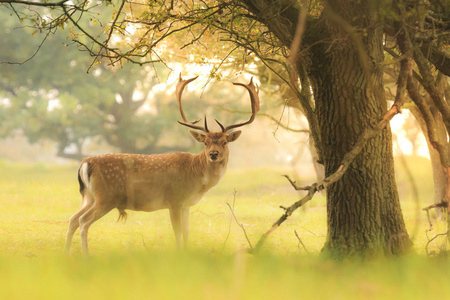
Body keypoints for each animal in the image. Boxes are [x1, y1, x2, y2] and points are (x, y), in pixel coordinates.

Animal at [63, 74, 260, 254]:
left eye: (225, 142)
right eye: (205, 143)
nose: (213, 154)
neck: (196, 178)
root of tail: (86, 163)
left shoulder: (186, 205)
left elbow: (187, 232)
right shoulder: (174, 200)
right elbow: (178, 232)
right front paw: (179, 254)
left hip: (90, 196)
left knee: (73, 219)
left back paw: (66, 254)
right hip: (106, 196)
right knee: (83, 221)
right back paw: (86, 256)